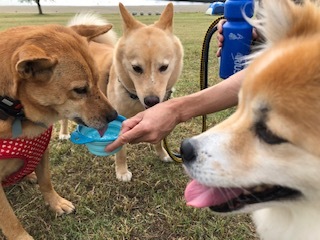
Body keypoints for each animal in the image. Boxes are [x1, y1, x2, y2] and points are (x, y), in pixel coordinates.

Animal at [0, 22, 117, 238]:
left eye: (98, 79)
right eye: (80, 90)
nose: (114, 116)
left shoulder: (42, 150)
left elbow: (46, 181)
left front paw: (56, 203)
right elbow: (9, 219)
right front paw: (22, 237)